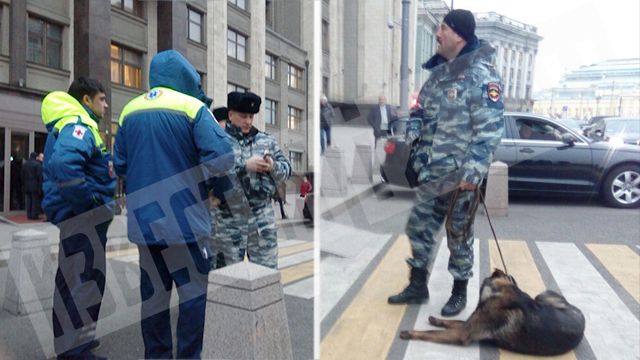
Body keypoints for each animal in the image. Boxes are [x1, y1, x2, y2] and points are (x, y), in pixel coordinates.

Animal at [400, 268, 584, 356]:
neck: (499, 291)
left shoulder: (463, 333)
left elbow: (430, 333)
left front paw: (410, 332)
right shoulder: (469, 324)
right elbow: (452, 322)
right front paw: (435, 320)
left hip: (542, 295)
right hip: (542, 296)